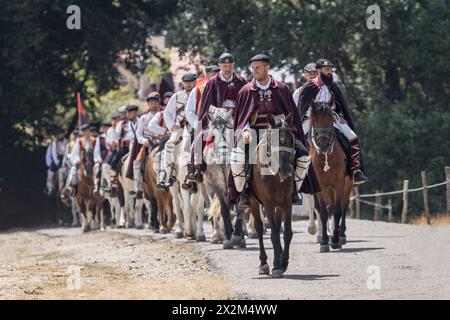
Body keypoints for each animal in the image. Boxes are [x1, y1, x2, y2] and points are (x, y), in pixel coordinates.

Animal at [248, 114, 298, 278]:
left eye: (290, 139)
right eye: (272, 140)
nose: (285, 169)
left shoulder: (287, 202)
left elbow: (287, 232)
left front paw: (284, 262)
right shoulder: (268, 203)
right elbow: (274, 234)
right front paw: (276, 266)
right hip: (253, 202)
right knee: (259, 228)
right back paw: (263, 263)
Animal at [308, 100, 354, 252]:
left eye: (330, 118)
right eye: (315, 119)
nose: (323, 142)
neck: (326, 157)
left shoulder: (339, 184)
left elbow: (339, 210)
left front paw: (334, 240)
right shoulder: (321, 186)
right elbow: (323, 211)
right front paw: (324, 242)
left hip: (347, 183)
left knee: (344, 205)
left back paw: (341, 235)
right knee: (330, 208)